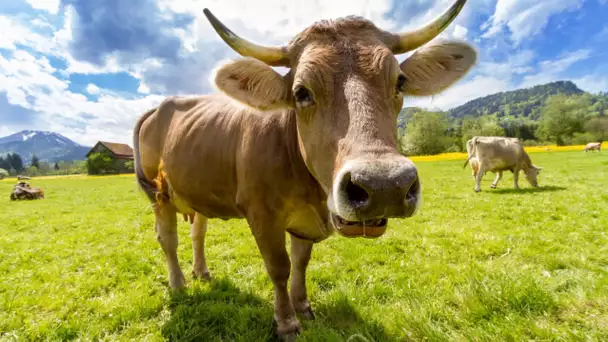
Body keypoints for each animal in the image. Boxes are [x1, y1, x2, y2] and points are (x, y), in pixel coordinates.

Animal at [132, 1, 476, 340]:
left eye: (400, 81)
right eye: (301, 92)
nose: (384, 187)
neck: (310, 191)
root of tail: (160, 106)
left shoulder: (304, 221)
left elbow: (300, 262)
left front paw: (303, 307)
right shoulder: (262, 214)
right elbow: (279, 267)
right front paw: (286, 322)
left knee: (197, 231)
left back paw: (201, 272)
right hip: (159, 195)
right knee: (168, 239)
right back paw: (178, 285)